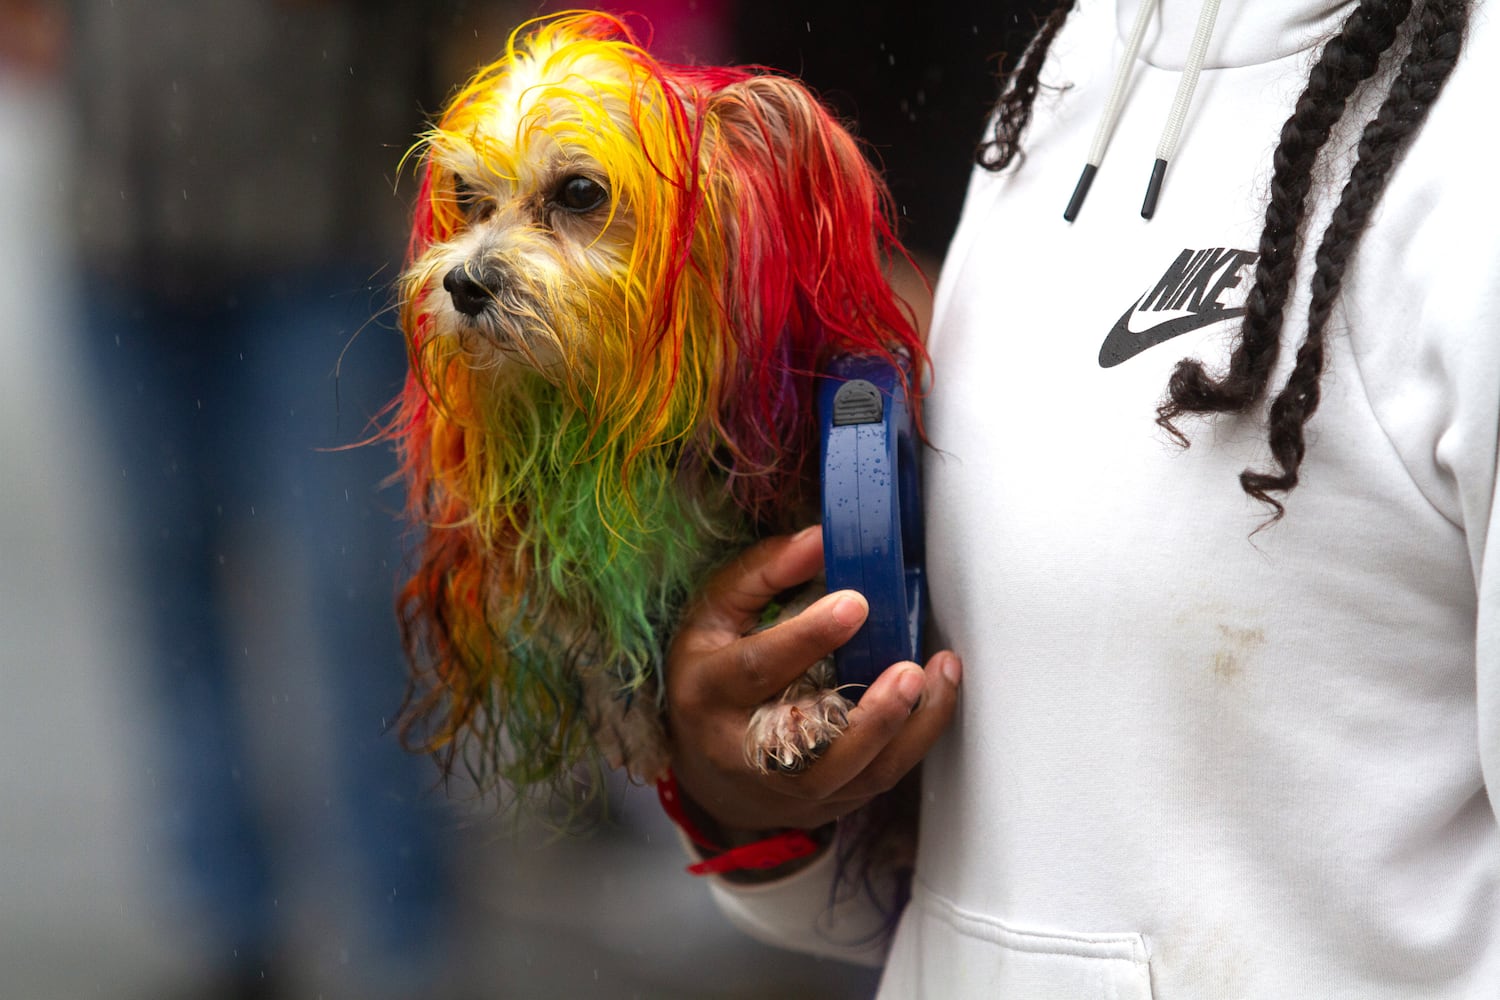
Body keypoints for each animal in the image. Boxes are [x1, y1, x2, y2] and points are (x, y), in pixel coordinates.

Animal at [387, 11, 924, 803]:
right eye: (469, 198)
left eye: (581, 191)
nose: (462, 282)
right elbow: (577, 616)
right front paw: (625, 710)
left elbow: (811, 601)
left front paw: (791, 706)